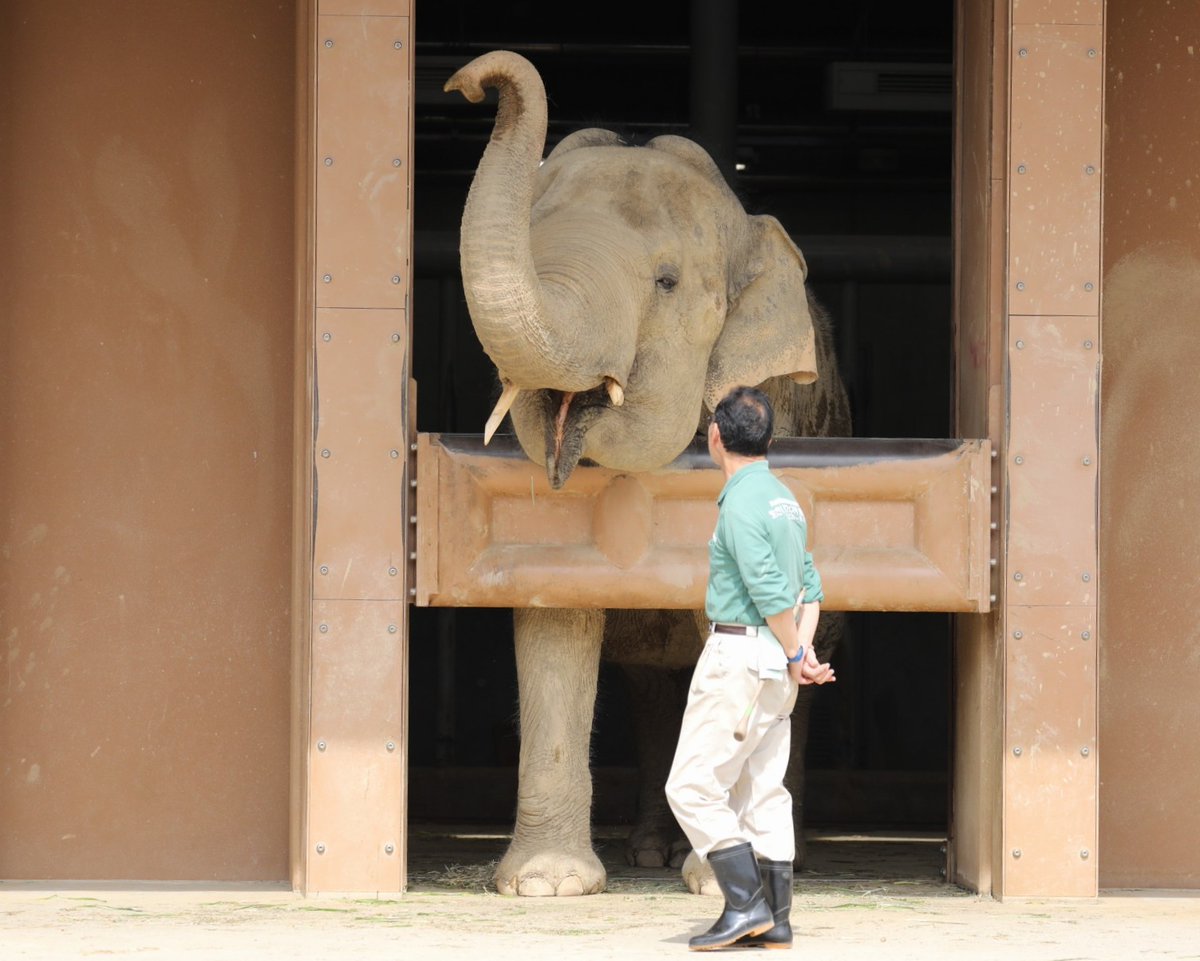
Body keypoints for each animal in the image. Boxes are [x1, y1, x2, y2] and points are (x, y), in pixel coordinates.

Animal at [444, 50, 854, 892]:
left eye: (666, 281)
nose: (469, 82)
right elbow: (554, 611)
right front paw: (547, 885)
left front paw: (716, 879)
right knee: (655, 687)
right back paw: (647, 851)